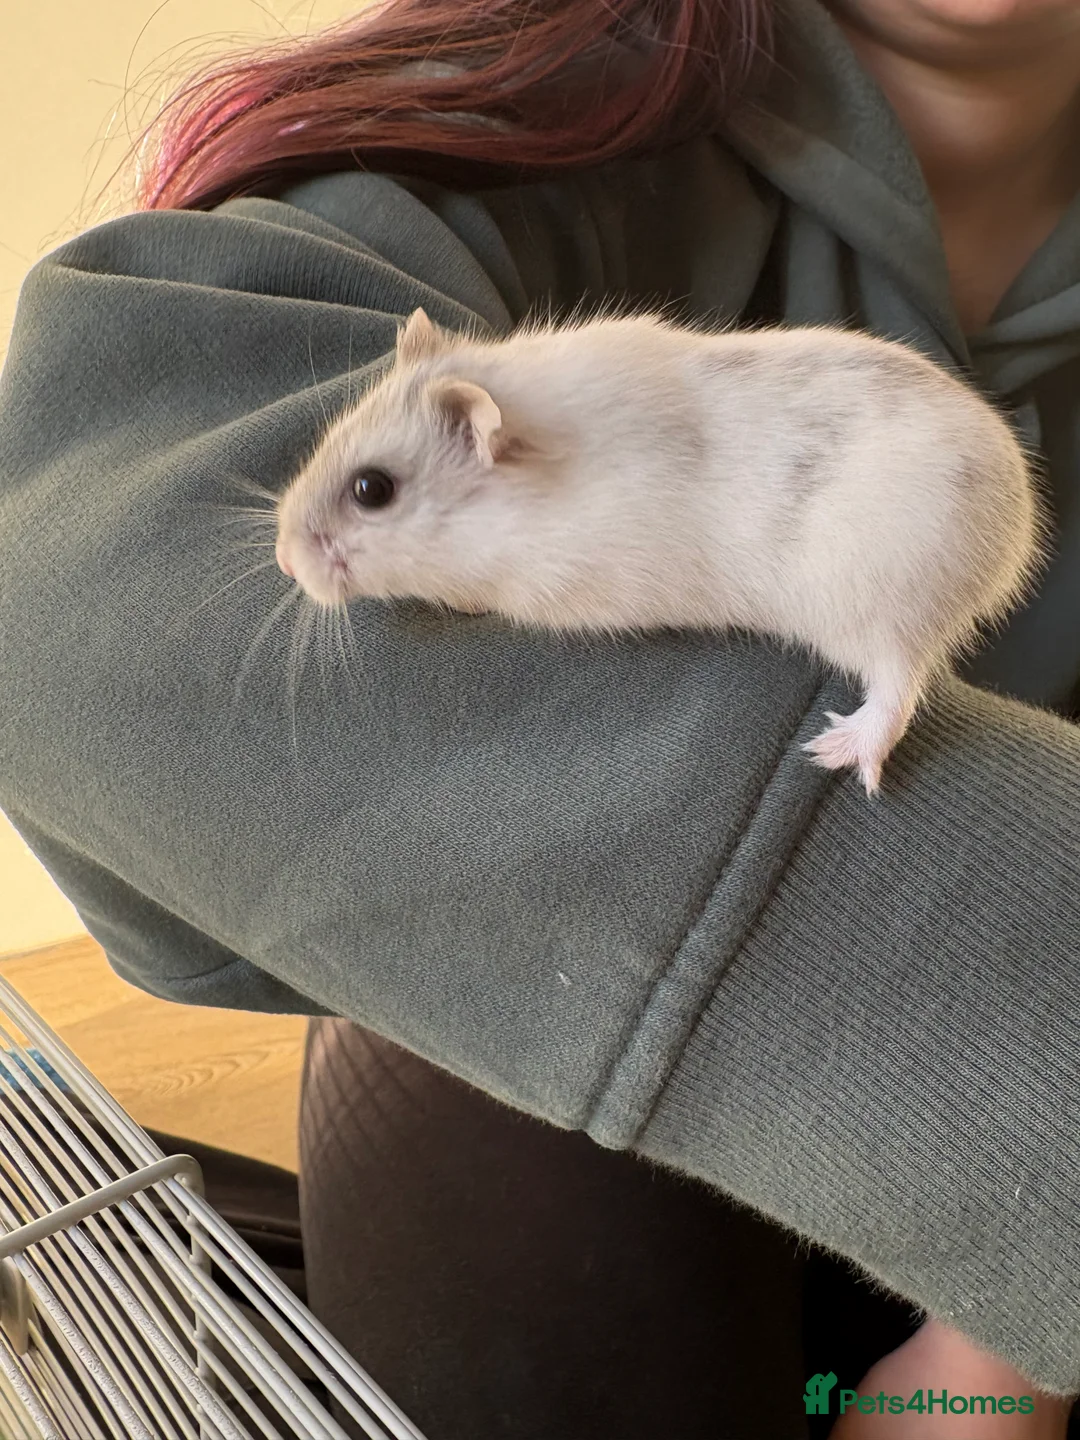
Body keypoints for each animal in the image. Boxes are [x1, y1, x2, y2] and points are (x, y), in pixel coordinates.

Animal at [274, 306, 1044, 796]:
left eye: (372, 489)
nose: (284, 558)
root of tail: (1012, 534)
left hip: (874, 603)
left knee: (899, 688)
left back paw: (836, 749)